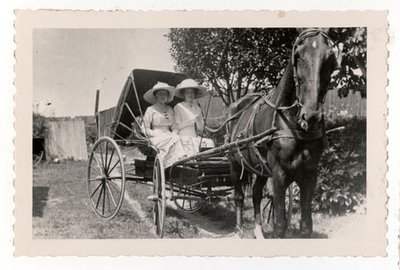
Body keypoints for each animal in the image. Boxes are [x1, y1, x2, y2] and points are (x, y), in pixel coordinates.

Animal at [227, 28, 340, 238]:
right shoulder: (279, 174)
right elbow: (280, 225)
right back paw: (238, 228)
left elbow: (306, 226)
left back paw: (258, 230)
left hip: (260, 167)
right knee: (239, 196)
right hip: (234, 162)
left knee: (256, 193)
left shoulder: (310, 174)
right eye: (298, 55)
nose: (311, 115)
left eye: (330, 57)